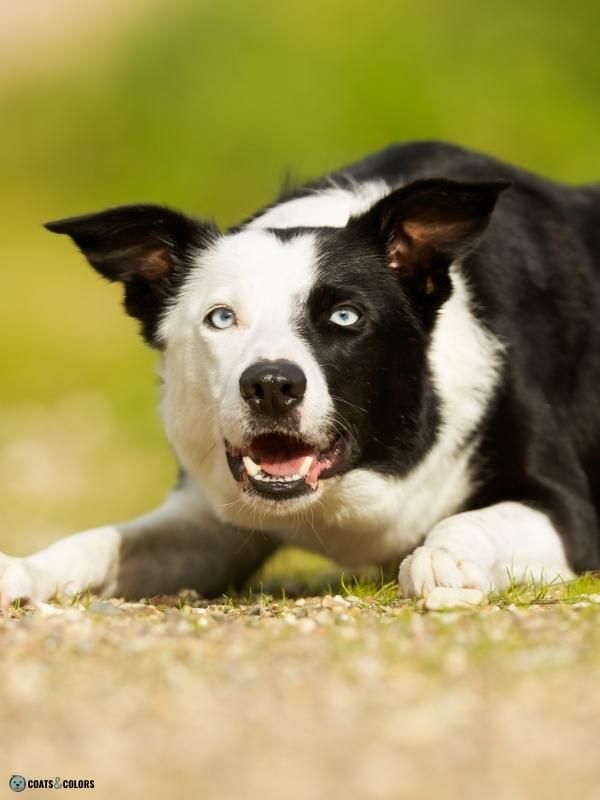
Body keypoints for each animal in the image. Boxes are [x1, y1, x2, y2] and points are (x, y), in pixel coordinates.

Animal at [1, 144, 600, 608]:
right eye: (221, 318)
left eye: (345, 317)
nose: (270, 385)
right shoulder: (211, 520)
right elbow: (103, 541)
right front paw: (26, 570)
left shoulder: (571, 514)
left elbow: (469, 521)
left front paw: (443, 557)